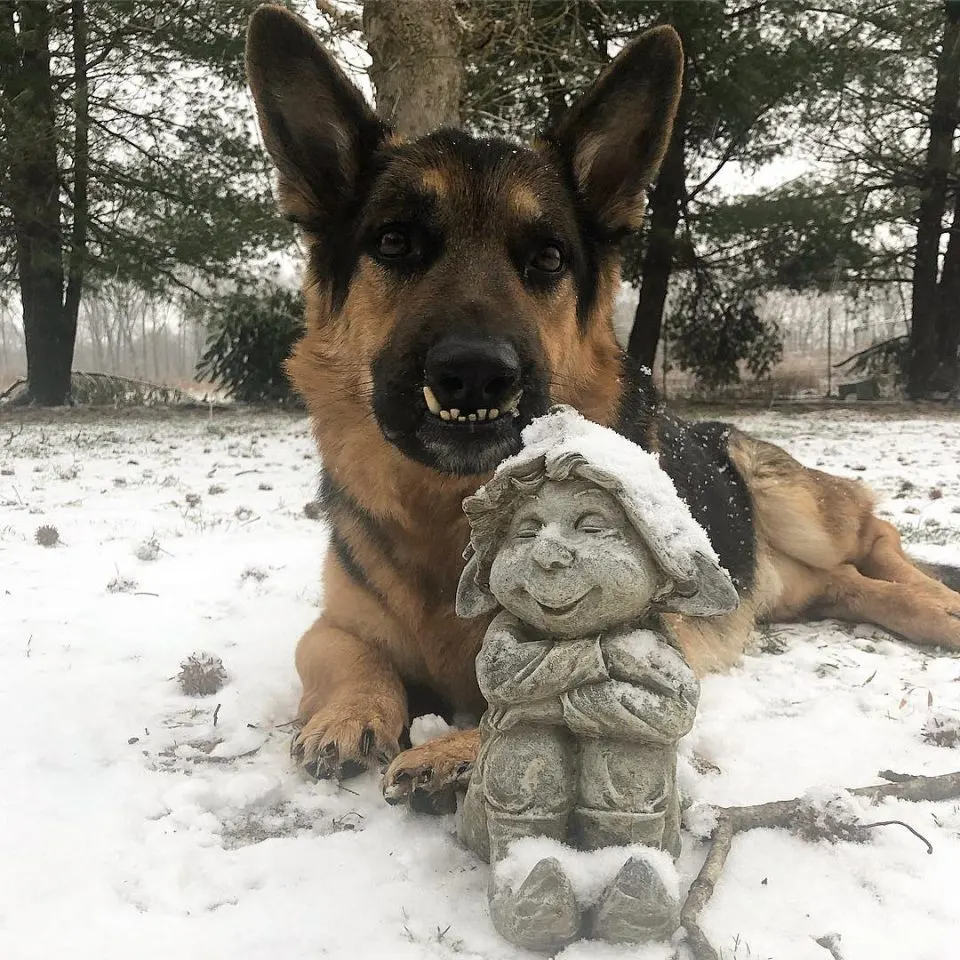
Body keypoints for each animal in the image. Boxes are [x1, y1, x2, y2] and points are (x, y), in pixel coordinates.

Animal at [244, 7, 960, 804]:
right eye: (395, 242)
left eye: (549, 259)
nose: (475, 376)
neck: (447, 507)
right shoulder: (337, 625)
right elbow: (339, 654)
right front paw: (349, 713)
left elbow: (535, 695)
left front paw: (455, 750)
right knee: (851, 586)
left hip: (790, 501)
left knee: (878, 540)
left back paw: (940, 605)